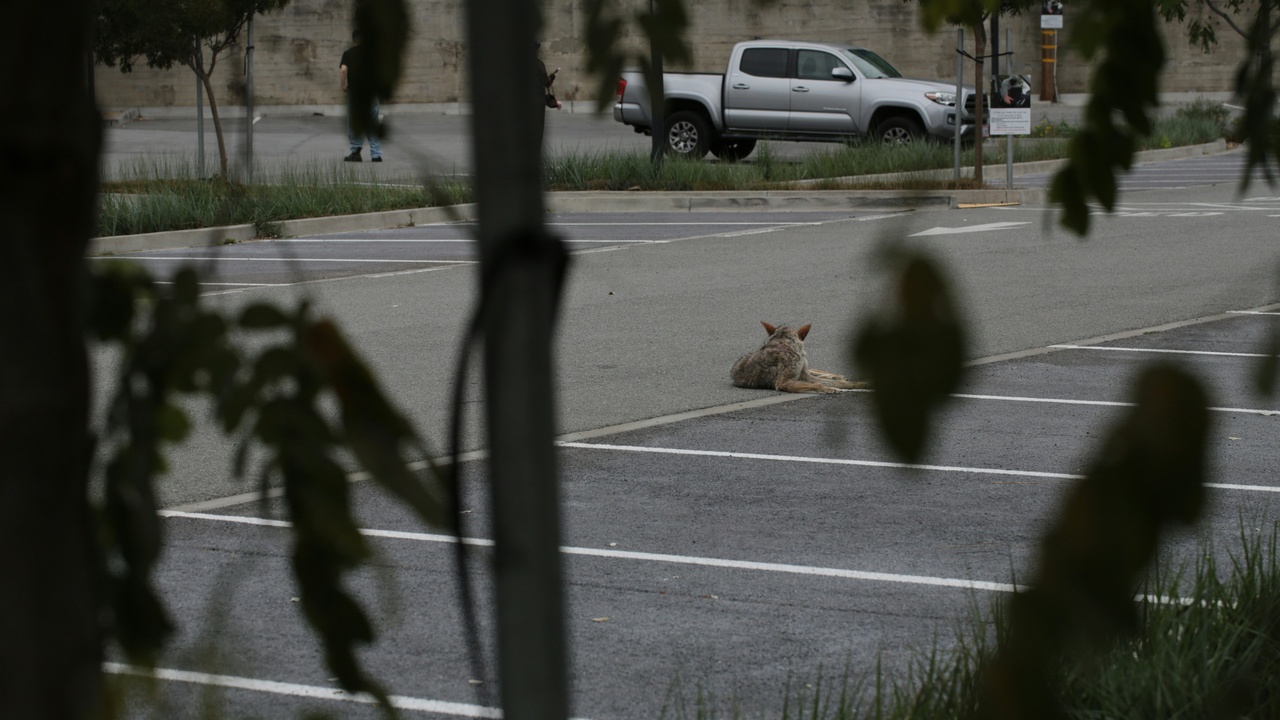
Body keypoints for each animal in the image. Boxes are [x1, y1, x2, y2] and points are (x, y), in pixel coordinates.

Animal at [731, 321, 869, 394]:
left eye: (764, 344)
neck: (784, 344)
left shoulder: (804, 375)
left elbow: (832, 382)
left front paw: (860, 383)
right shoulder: (784, 382)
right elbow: (819, 384)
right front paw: (830, 388)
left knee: (817, 371)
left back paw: (836, 375)